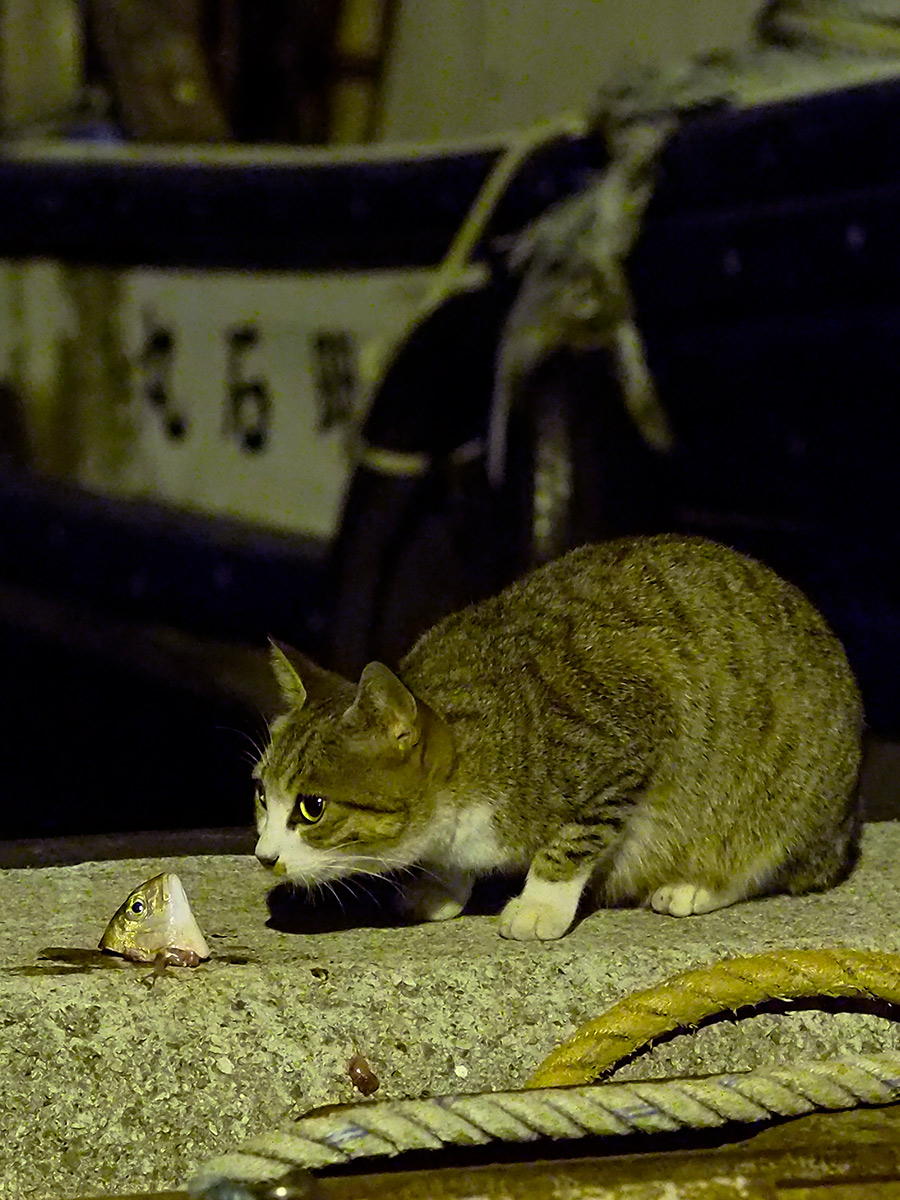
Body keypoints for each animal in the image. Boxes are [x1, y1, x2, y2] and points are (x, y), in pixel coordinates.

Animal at [255, 535, 868, 936]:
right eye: (262, 794)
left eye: (311, 808)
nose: (263, 856)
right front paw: (441, 885)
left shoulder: (623, 746)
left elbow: (572, 840)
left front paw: (539, 904)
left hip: (785, 797)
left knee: (769, 857)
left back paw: (696, 885)